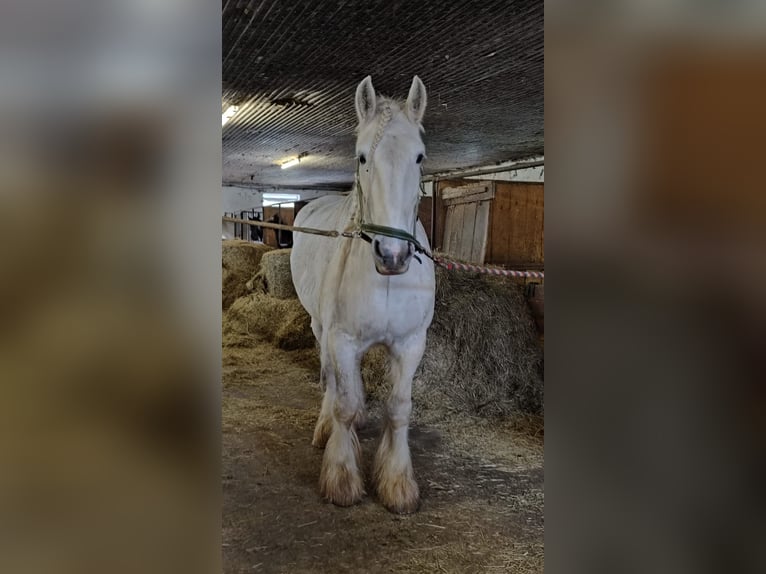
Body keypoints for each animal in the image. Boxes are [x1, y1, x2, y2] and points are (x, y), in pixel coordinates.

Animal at [290, 76, 435, 513]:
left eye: (419, 157)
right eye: (361, 157)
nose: (393, 254)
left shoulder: (410, 344)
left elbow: (399, 409)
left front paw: (398, 483)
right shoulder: (342, 339)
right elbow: (344, 402)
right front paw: (341, 476)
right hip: (322, 330)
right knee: (333, 382)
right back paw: (325, 429)